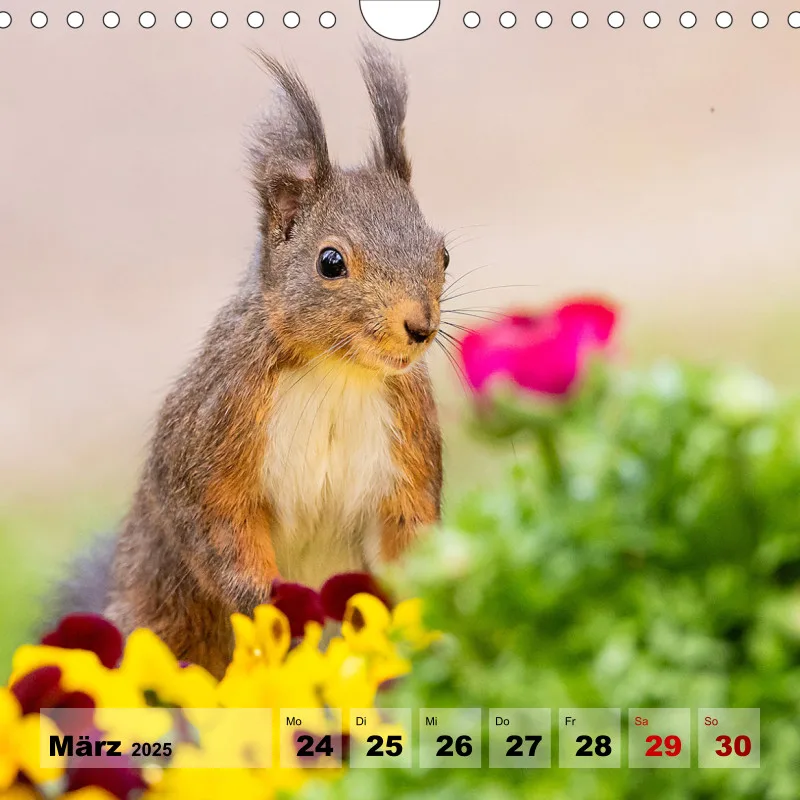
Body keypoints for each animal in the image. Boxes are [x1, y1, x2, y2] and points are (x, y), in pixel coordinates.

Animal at [56, 45, 445, 678]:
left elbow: (408, 534)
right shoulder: (213, 431)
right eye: (330, 261)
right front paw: (273, 606)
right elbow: (219, 527)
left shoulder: (406, 450)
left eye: (443, 252)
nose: (420, 327)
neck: (339, 373)